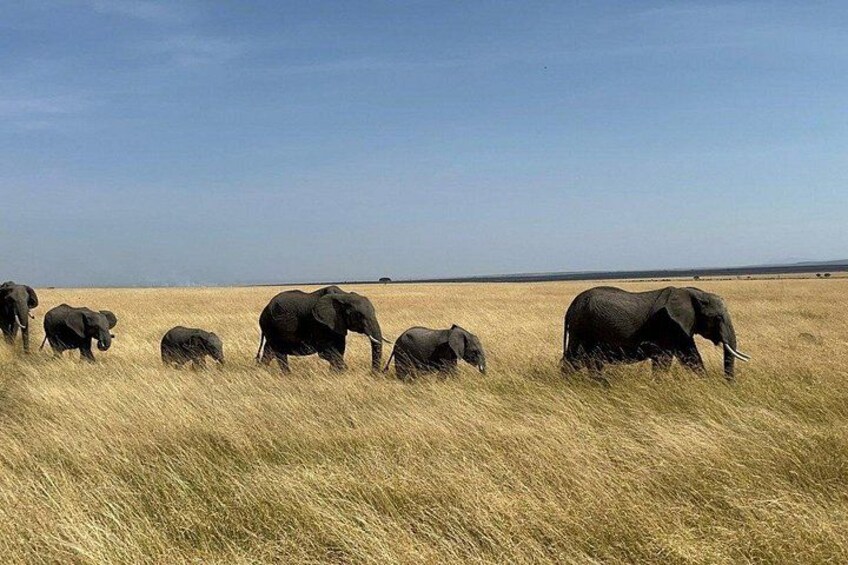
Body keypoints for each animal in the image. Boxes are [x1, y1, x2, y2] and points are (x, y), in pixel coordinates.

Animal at [257, 286, 385, 373]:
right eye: (359, 315)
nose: (374, 374)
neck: (343, 296)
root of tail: (265, 309)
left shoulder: (336, 324)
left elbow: (339, 350)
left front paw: (335, 374)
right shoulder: (319, 323)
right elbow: (327, 352)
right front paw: (343, 371)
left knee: (269, 351)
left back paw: (261, 370)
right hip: (270, 325)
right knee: (279, 352)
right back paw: (287, 375)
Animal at [561, 286, 750, 383]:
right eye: (717, 318)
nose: (728, 385)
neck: (694, 293)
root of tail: (570, 308)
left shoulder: (681, 328)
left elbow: (691, 357)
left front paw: (705, 383)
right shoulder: (667, 324)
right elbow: (664, 359)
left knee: (583, 360)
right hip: (583, 328)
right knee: (579, 358)